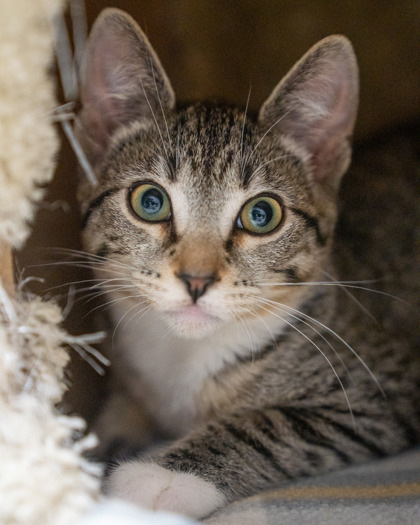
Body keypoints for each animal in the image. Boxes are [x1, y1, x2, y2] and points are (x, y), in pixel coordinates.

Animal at [75, 6, 420, 516]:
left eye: (261, 215)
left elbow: (275, 424)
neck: (182, 359)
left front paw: (162, 477)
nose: (196, 279)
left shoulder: (380, 389)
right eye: (150, 202)